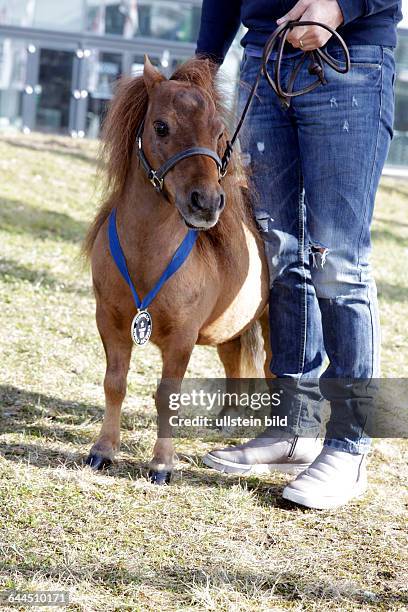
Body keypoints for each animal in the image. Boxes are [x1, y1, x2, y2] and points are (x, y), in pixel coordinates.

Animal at [83, 56, 270, 482]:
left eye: (219, 132)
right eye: (161, 126)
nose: (207, 202)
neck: (147, 258)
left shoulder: (182, 337)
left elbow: (167, 395)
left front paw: (162, 464)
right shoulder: (110, 322)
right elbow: (114, 383)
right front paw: (103, 450)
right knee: (233, 362)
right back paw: (227, 421)